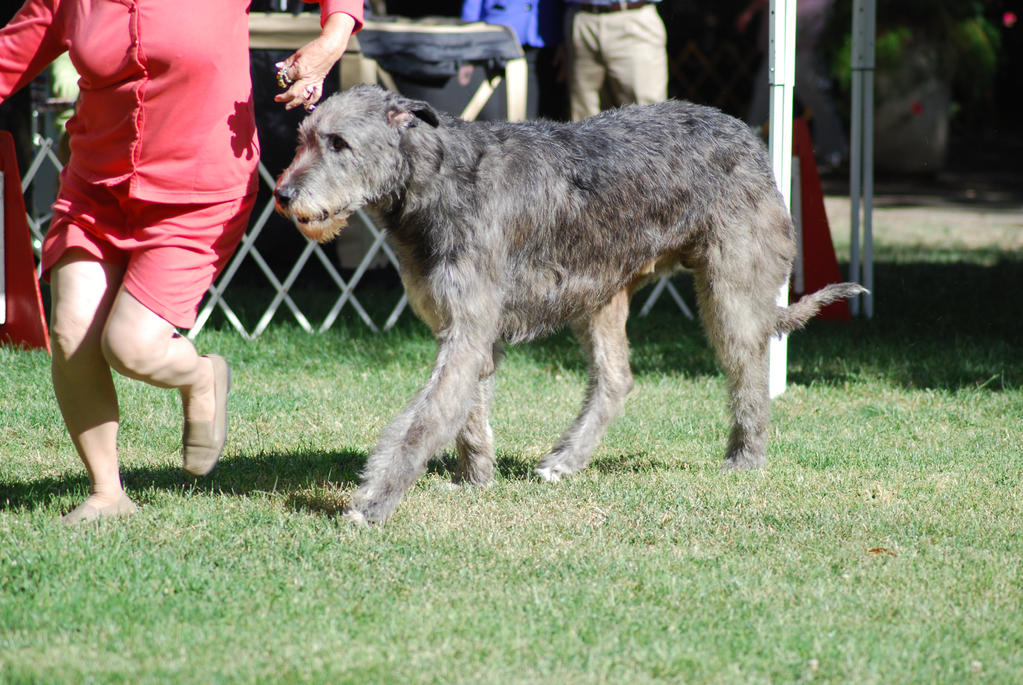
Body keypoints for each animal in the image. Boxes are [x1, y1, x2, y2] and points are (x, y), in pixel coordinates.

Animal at [276, 85, 867, 527]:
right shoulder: (469, 330)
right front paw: (475, 479)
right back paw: (565, 460)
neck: (438, 180)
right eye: (303, 139)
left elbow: (425, 419)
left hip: (729, 291)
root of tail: (745, 131)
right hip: (601, 292)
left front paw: (374, 501)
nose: (283, 195)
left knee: (750, 372)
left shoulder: (467, 328)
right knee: (617, 379)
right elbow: (468, 413)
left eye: (339, 143)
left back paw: (745, 458)